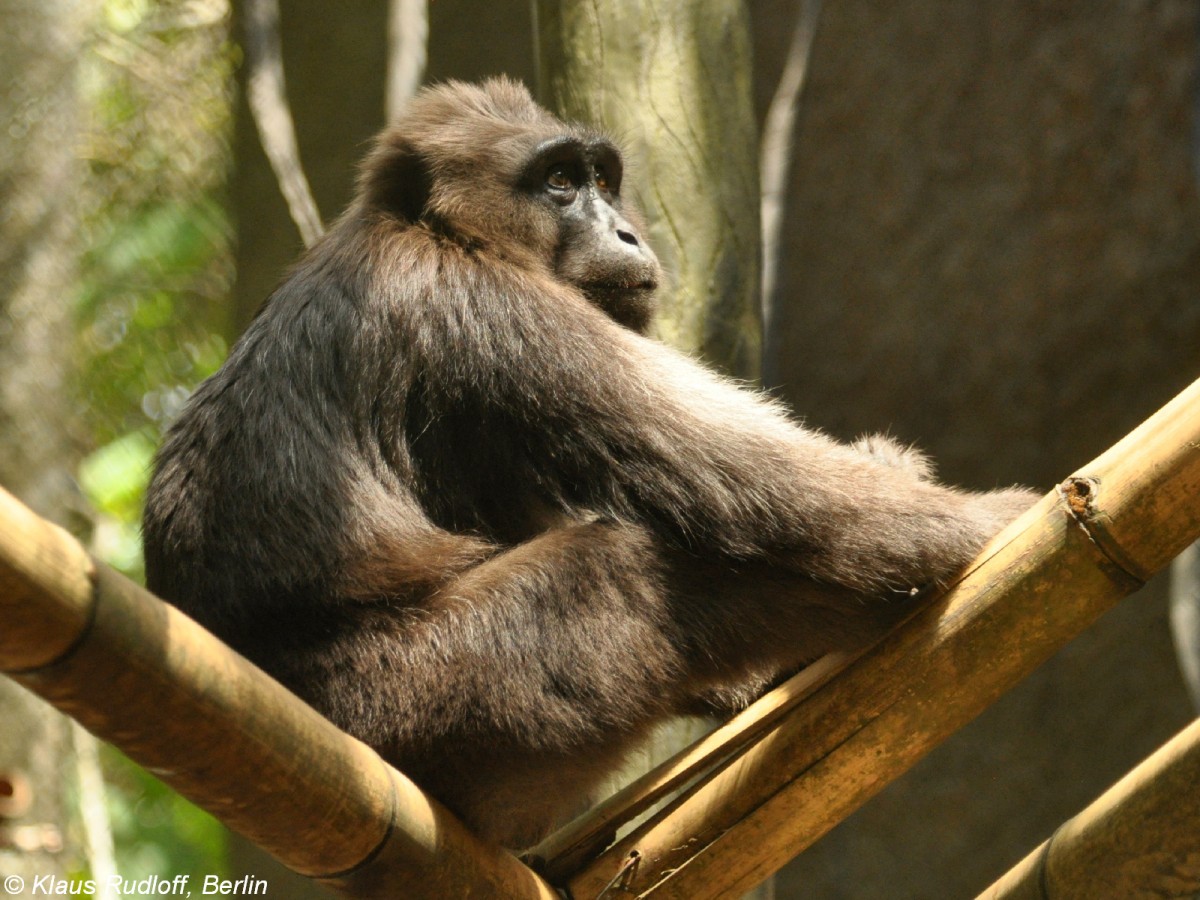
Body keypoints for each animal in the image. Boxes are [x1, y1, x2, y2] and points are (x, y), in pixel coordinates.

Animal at [142, 79, 1041, 854]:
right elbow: (739, 483)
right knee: (626, 568)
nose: (627, 232)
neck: (437, 231)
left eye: (600, 178)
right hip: (412, 704)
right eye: (559, 183)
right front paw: (981, 523)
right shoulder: (492, 305)